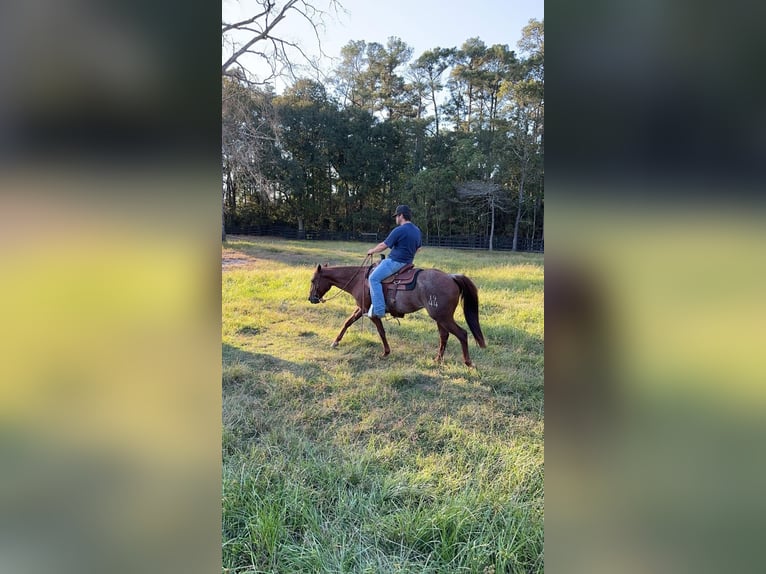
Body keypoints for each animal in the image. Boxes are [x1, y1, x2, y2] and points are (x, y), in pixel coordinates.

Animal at [306, 260, 486, 364]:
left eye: (313, 280)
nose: (311, 298)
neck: (359, 280)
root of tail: (451, 277)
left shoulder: (370, 311)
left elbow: (381, 331)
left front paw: (386, 352)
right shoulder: (361, 309)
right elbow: (347, 322)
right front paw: (335, 342)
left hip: (443, 317)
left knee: (462, 334)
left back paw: (468, 363)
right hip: (440, 318)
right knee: (444, 336)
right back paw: (437, 359)